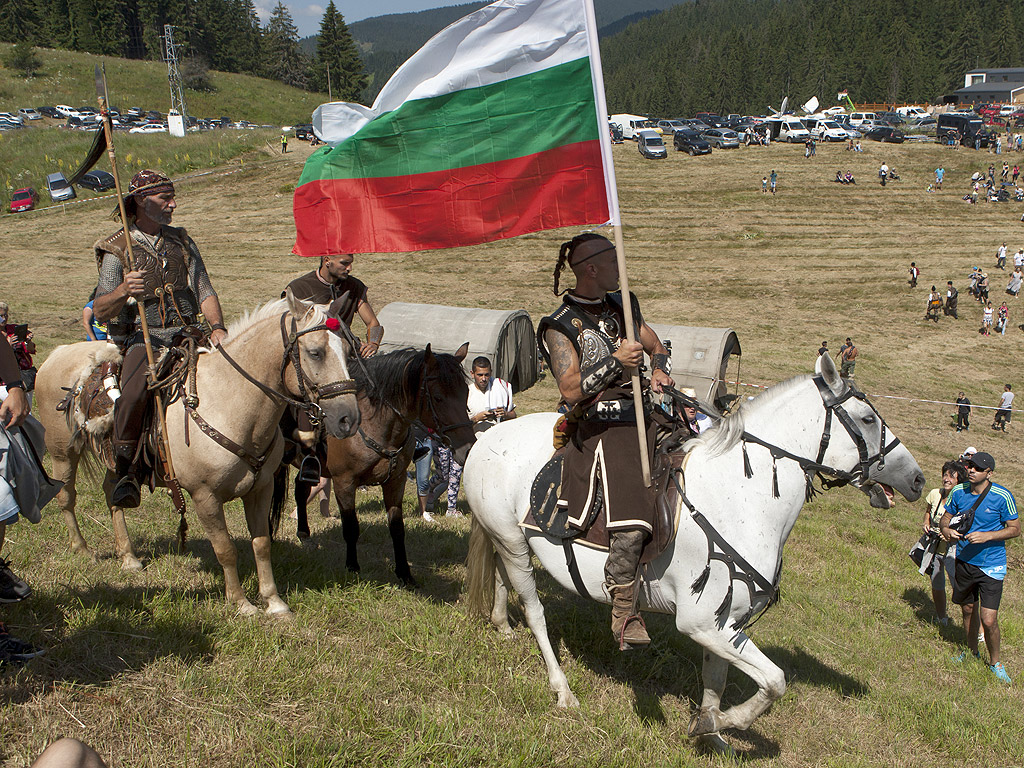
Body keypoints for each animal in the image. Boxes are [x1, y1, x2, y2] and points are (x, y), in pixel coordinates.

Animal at [34, 296, 362, 618]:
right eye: (315, 353)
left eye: (349, 351)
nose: (349, 418)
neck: (230, 403)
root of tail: (58, 354)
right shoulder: (205, 497)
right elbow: (225, 549)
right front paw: (242, 604)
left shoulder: (261, 488)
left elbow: (262, 544)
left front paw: (274, 602)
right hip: (63, 452)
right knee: (66, 496)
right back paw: (82, 549)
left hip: (115, 463)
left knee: (111, 492)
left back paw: (128, 556)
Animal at [292, 346, 475, 585]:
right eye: (437, 397)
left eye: (466, 393)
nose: (468, 449)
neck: (374, 425)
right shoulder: (344, 483)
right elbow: (351, 527)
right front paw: (352, 567)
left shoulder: (395, 482)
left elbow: (397, 528)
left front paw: (405, 574)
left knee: (300, 488)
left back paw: (304, 534)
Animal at [466, 354, 929, 753]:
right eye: (867, 419)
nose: (918, 480)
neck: (739, 494)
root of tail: (490, 436)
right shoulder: (700, 621)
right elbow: (775, 681)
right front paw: (719, 723)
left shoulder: (726, 621)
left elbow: (716, 680)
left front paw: (712, 732)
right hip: (512, 542)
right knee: (535, 612)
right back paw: (561, 689)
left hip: (510, 543)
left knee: (504, 576)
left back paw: (501, 625)